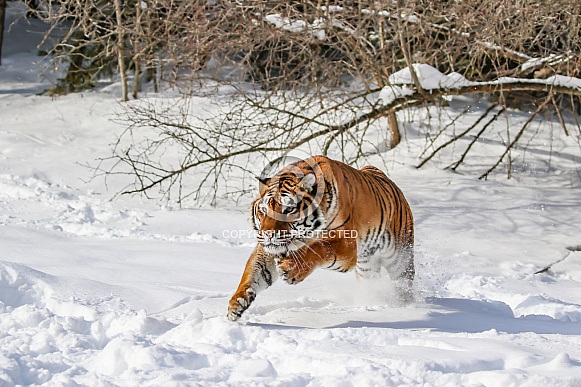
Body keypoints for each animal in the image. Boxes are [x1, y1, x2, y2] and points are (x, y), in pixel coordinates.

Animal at [227, 155, 412, 322]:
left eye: (288, 210)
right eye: (264, 210)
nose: (268, 234)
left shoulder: (347, 244)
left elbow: (320, 249)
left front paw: (292, 269)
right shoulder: (268, 249)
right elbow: (254, 272)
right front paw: (236, 304)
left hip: (399, 260)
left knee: (405, 285)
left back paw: (404, 308)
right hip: (367, 268)